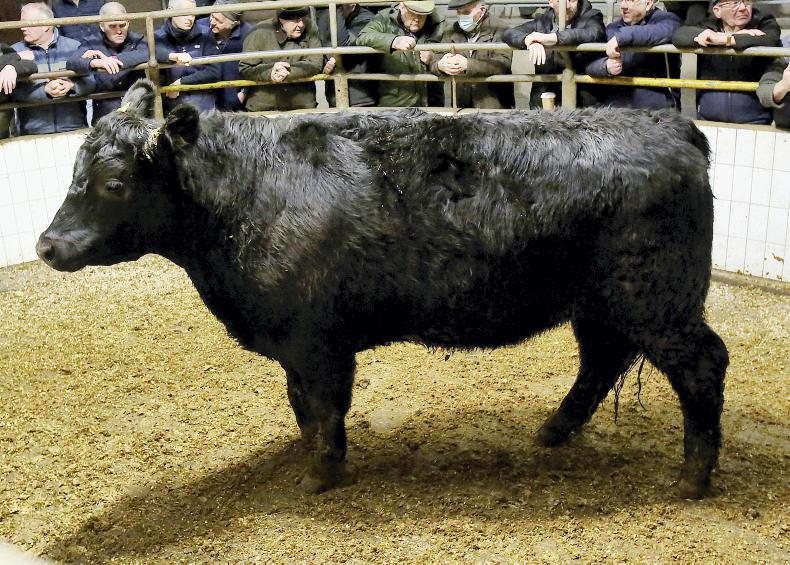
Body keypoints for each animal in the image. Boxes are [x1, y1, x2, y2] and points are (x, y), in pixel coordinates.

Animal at [37, 80, 728, 499]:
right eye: (74, 171)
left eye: (115, 184)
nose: (47, 245)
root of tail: (670, 125)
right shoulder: (298, 343)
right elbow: (301, 406)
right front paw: (310, 455)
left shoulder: (317, 341)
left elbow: (323, 407)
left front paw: (320, 476)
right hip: (604, 303)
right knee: (600, 361)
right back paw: (554, 432)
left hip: (657, 301)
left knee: (701, 366)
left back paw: (693, 478)